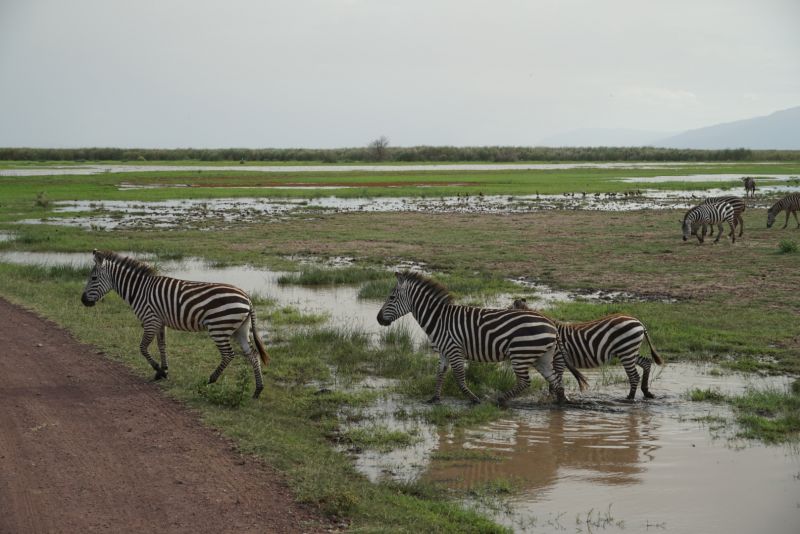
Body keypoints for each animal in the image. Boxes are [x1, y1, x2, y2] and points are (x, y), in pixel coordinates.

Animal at [81, 250, 270, 398]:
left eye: (93, 278)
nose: (83, 301)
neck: (139, 290)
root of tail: (248, 299)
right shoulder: (159, 321)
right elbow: (161, 345)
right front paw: (164, 370)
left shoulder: (150, 320)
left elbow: (143, 348)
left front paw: (158, 370)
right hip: (240, 329)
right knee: (252, 354)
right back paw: (258, 390)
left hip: (219, 328)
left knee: (228, 355)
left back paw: (210, 380)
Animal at [376, 272, 588, 406]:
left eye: (391, 298)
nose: (378, 319)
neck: (439, 319)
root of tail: (551, 324)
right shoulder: (444, 352)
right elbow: (440, 374)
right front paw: (434, 399)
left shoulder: (454, 349)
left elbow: (459, 377)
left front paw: (473, 399)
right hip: (541, 356)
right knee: (556, 382)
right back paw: (560, 405)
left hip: (520, 353)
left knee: (525, 382)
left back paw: (499, 400)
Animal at [512, 300, 664, 400]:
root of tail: (638, 322)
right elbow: (553, 380)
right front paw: (553, 397)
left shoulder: (559, 358)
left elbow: (556, 379)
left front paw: (554, 397)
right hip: (628, 351)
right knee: (646, 362)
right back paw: (646, 392)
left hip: (626, 350)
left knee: (634, 376)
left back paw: (629, 399)